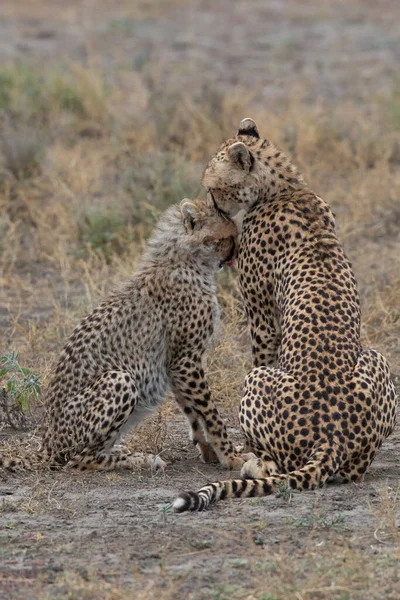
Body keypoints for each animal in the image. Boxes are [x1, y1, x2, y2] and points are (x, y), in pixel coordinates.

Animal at [0, 199, 247, 472]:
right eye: (227, 237)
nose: (236, 255)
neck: (185, 261)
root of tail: (47, 445)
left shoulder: (175, 363)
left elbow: (193, 412)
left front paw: (209, 451)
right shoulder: (186, 360)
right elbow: (210, 413)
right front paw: (231, 457)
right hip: (119, 379)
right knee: (78, 461)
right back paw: (141, 459)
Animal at [173, 119, 398, 512]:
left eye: (214, 189)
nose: (214, 210)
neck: (286, 188)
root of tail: (331, 437)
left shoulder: (261, 315)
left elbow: (262, 349)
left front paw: (242, 449)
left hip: (258, 381)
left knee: (273, 464)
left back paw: (253, 461)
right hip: (377, 358)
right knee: (353, 471)